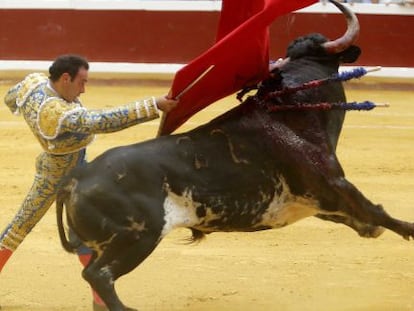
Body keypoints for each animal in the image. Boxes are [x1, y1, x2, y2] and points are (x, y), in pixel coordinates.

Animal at [55, 1, 414, 310]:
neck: (291, 107)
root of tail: (77, 178)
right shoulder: (333, 183)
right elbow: (378, 211)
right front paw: (407, 229)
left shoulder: (319, 202)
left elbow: (364, 216)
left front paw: (372, 230)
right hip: (139, 235)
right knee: (99, 274)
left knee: (95, 273)